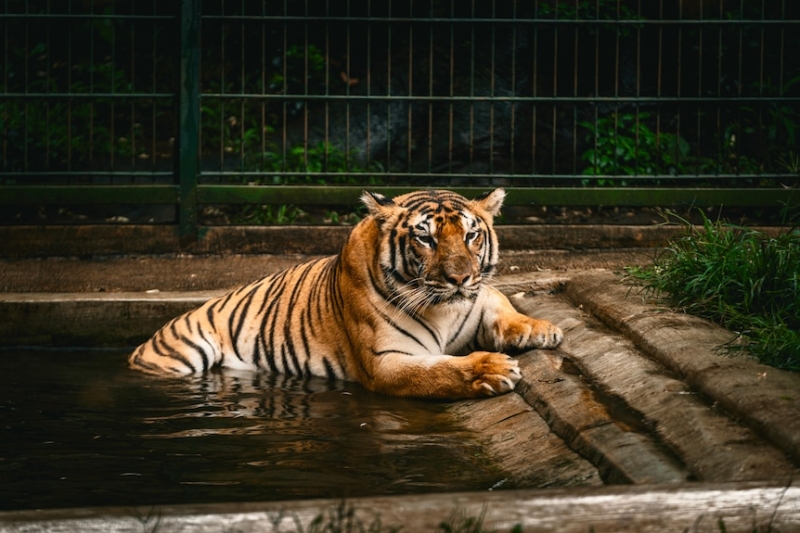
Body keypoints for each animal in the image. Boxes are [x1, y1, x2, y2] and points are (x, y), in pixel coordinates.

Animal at [130, 189, 564, 396]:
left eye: (472, 235)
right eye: (425, 238)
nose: (460, 279)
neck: (445, 309)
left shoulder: (480, 297)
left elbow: (502, 304)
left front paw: (541, 329)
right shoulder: (387, 361)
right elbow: (438, 371)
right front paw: (490, 369)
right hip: (183, 354)